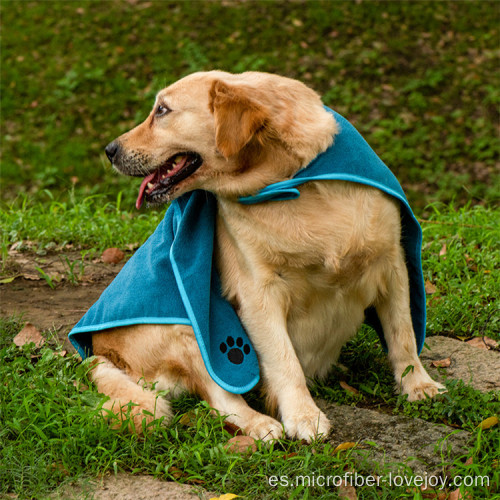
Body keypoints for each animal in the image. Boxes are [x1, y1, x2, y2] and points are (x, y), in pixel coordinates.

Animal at [88, 70, 444, 442]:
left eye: (162, 110)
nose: (109, 150)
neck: (292, 182)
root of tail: (101, 352)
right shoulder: (258, 293)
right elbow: (284, 361)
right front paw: (303, 415)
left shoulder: (393, 263)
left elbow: (403, 335)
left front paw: (418, 385)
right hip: (185, 325)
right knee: (221, 398)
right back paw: (261, 424)